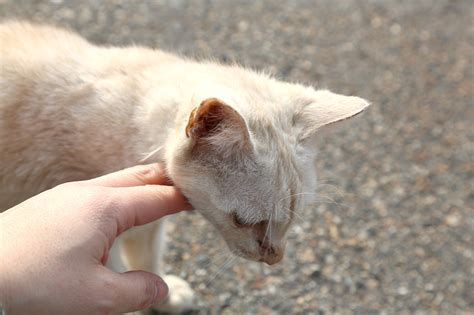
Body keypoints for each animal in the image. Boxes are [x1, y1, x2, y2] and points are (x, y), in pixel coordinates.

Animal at [0, 22, 368, 314]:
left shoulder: (145, 227)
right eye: (243, 221)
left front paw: (163, 297)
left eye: (291, 220)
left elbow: (148, 261)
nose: (275, 258)